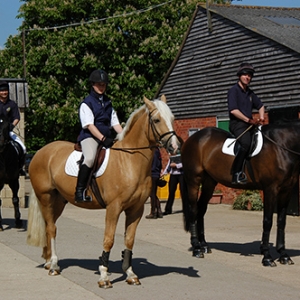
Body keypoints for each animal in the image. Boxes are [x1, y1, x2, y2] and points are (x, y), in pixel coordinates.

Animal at [27, 96, 180, 288]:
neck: (129, 160)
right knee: (51, 228)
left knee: (50, 226)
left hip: (59, 201)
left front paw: (130, 274)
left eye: (172, 119)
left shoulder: (136, 209)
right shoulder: (113, 208)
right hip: (45, 197)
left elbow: (129, 240)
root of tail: (41, 152)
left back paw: (48, 262)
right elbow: (109, 239)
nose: (174, 146)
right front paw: (104, 277)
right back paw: (54, 265)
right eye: (157, 120)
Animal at [180, 120, 300, 266]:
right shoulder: (270, 189)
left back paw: (204, 245)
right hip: (194, 181)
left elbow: (282, 222)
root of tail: (192, 139)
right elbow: (268, 221)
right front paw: (267, 257)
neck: (282, 146)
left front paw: (284, 255)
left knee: (201, 209)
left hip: (209, 183)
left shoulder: (286, 191)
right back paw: (196, 248)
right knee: (193, 210)